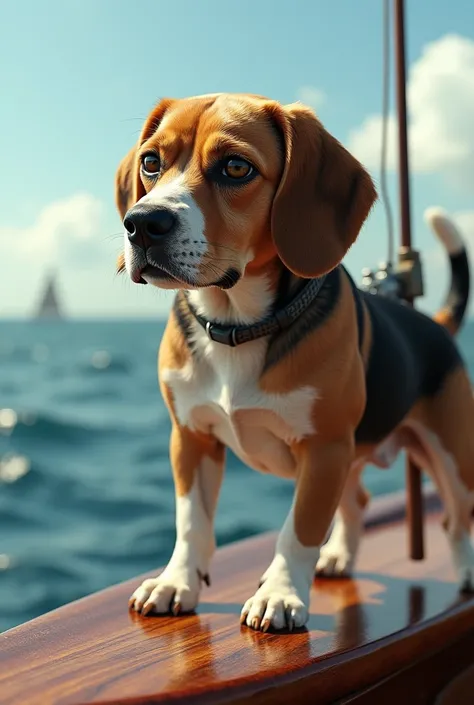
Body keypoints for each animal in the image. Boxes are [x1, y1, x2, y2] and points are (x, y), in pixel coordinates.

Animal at [115, 95, 474, 632]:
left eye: (236, 167)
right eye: (151, 162)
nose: (142, 223)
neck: (236, 325)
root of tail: (433, 323)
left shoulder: (322, 448)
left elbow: (299, 528)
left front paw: (280, 594)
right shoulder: (191, 438)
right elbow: (191, 522)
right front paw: (176, 582)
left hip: (449, 455)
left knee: (455, 516)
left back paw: (467, 570)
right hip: (351, 456)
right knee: (358, 502)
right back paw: (340, 557)